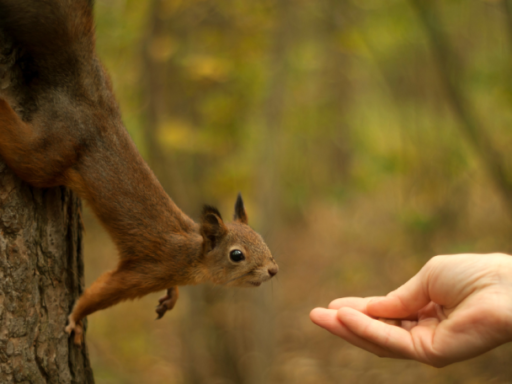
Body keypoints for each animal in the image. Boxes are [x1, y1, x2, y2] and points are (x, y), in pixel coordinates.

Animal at [0, 0, 280, 344]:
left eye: (261, 239)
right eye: (237, 255)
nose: (273, 270)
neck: (193, 256)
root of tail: (83, 93)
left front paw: (172, 297)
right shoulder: (149, 269)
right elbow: (101, 292)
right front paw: (77, 317)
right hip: (49, 153)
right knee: (24, 153)